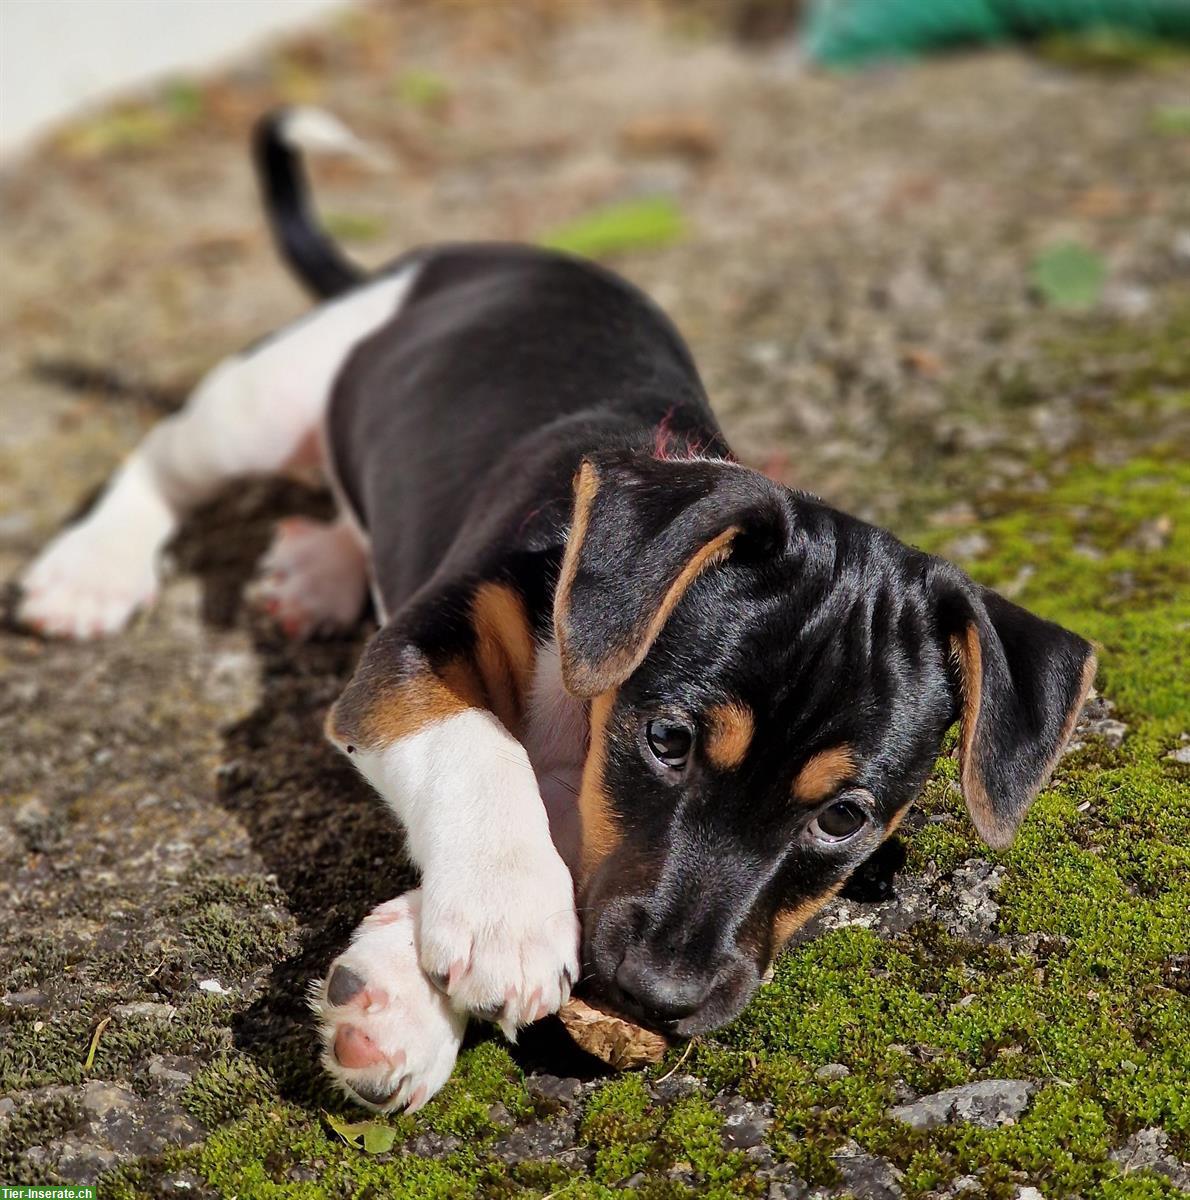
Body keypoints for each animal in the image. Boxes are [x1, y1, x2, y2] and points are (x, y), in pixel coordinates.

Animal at [16, 108, 1098, 1108]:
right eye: (668, 740)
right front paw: (503, 914)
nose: (658, 994)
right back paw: (91, 572)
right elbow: (480, 747)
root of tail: (444, 254)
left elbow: (572, 823)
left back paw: (317, 569)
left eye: (843, 816)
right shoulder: (414, 654)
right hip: (259, 402)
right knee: (165, 456)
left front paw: (399, 990)